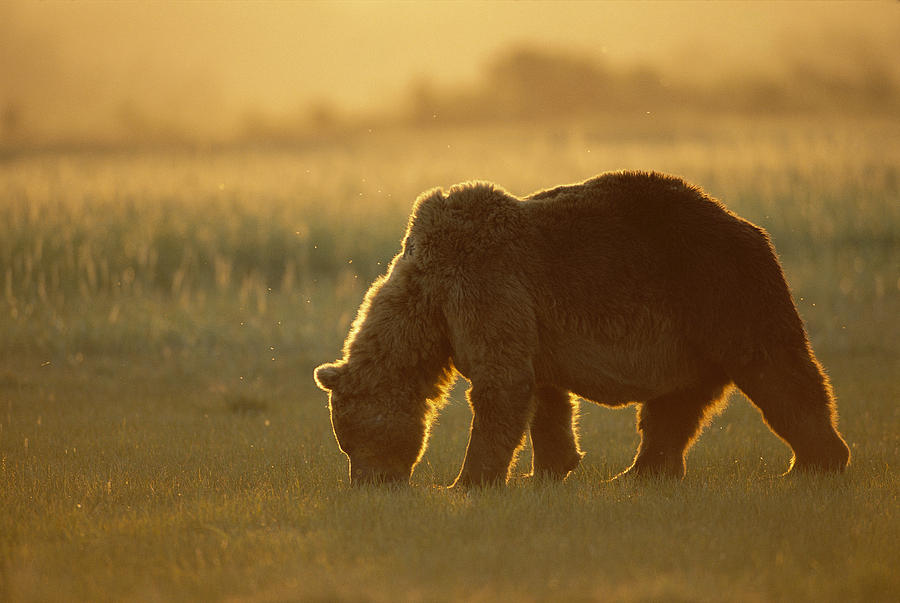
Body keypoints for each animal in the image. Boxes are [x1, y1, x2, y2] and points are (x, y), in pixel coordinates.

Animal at [316, 170, 852, 486]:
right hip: (689, 339)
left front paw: (469, 481)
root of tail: (750, 227)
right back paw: (640, 475)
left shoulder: (484, 283)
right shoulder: (530, 320)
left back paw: (815, 463)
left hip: (721, 293)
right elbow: (543, 395)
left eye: (351, 441)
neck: (429, 303)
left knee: (779, 374)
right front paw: (551, 468)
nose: (368, 484)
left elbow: (501, 383)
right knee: (673, 407)